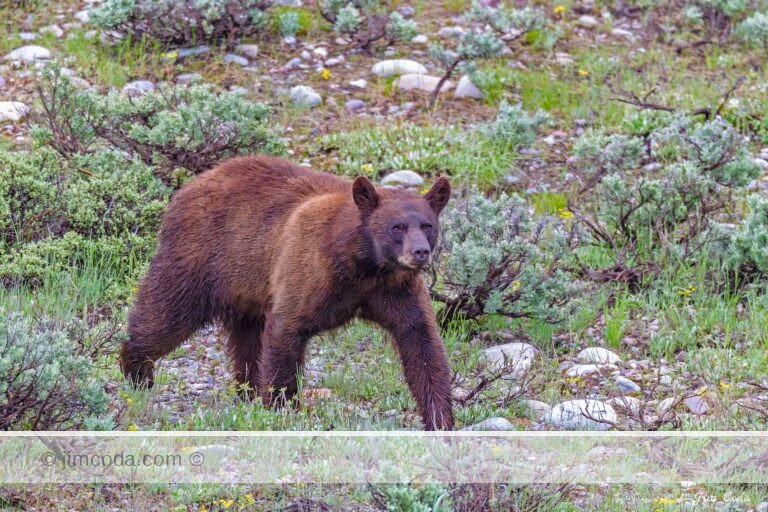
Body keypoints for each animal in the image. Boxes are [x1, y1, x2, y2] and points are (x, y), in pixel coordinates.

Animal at [120, 155, 454, 430]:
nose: (420, 252)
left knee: (246, 339)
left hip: (245, 285)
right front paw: (282, 407)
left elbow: (421, 341)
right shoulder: (308, 268)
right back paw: (137, 370)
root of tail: (189, 186)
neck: (363, 264)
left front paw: (440, 418)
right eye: (397, 227)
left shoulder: (396, 288)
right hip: (199, 256)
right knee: (167, 314)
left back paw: (247, 391)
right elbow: (286, 330)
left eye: (427, 225)